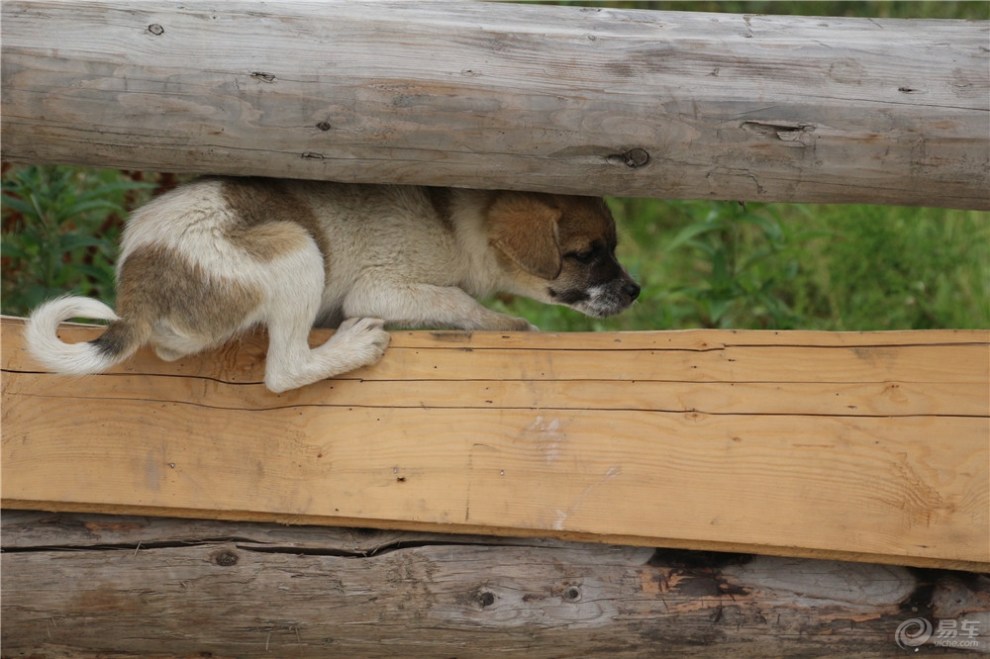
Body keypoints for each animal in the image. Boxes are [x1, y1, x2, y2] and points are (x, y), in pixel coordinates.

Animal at [29, 178, 644, 392]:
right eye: (586, 255)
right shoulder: (382, 289)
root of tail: (141, 284)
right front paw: (515, 326)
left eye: (613, 247)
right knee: (284, 370)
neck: (457, 221)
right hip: (297, 249)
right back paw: (353, 346)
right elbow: (460, 300)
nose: (636, 292)